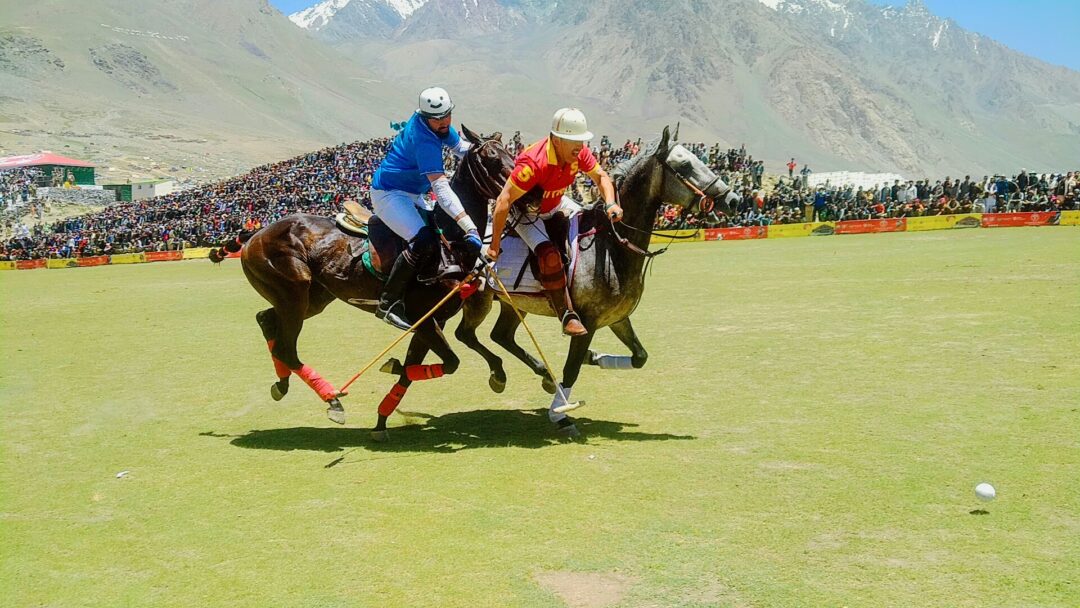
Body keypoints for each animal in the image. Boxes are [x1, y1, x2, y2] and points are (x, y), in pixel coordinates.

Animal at [212, 127, 516, 438]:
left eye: (510, 153)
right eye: (491, 158)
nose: (520, 190)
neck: (451, 240)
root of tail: (254, 234)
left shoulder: (433, 320)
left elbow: (418, 366)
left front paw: (382, 419)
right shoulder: (422, 317)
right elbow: (447, 363)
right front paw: (391, 370)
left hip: (312, 299)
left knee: (267, 321)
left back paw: (283, 383)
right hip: (293, 293)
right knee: (286, 348)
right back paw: (332, 399)